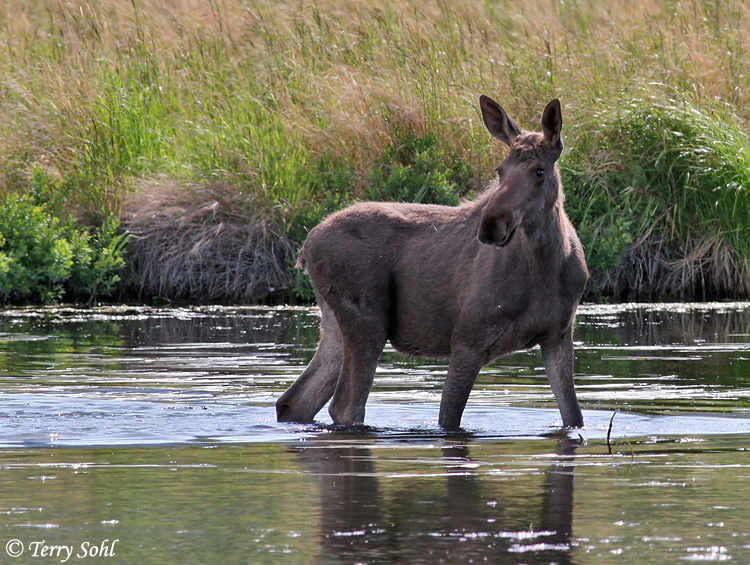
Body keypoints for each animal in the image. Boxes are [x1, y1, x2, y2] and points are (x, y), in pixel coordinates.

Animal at [276, 97, 588, 430]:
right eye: (500, 170)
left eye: (539, 171)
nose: (491, 224)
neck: (547, 269)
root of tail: (307, 247)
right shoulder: (468, 338)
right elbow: (448, 420)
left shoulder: (558, 335)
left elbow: (574, 417)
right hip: (366, 319)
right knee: (344, 405)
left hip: (334, 322)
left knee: (295, 400)